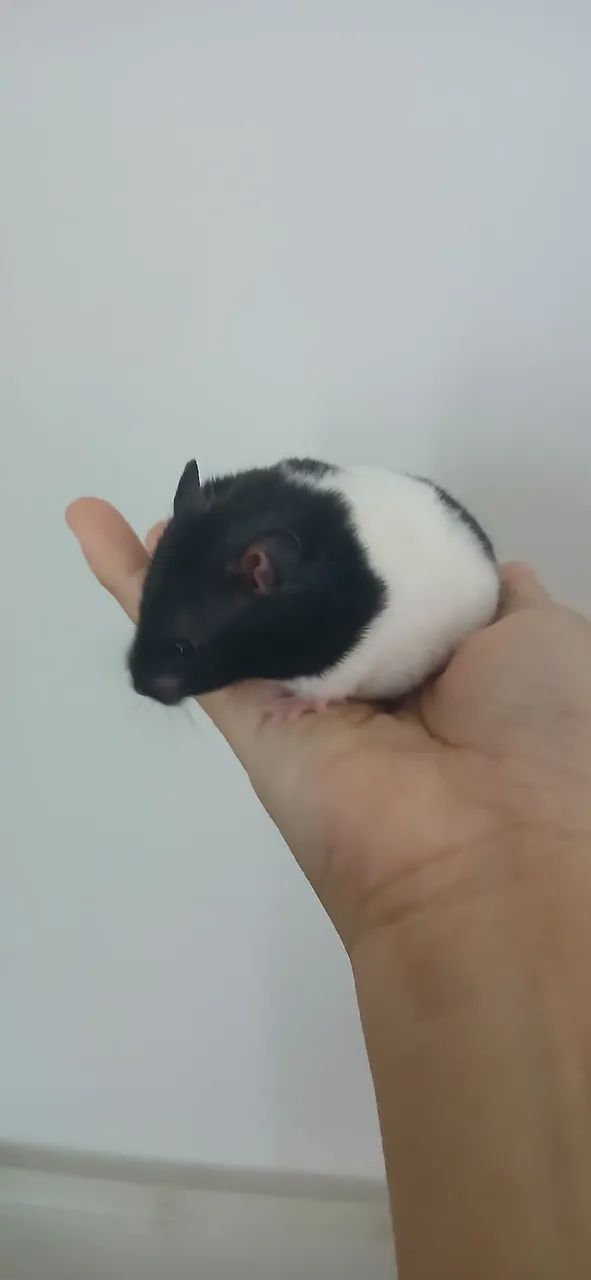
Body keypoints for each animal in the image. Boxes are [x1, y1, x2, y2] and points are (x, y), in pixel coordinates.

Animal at [129, 457, 499, 707]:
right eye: (142, 608)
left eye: (183, 648)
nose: (138, 687)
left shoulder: (344, 664)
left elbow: (324, 690)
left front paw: (287, 709)